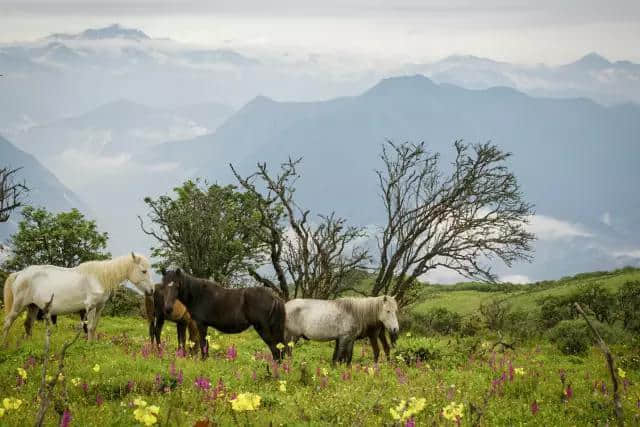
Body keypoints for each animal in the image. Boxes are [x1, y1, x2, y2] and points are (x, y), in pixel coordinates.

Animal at [2, 254, 153, 344]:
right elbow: (90, 327)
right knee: (8, 322)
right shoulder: (91, 307)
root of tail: (20, 273)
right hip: (18, 306)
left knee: (28, 324)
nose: (151, 290)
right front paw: (89, 345)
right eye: (143, 271)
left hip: (32, 306)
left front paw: (93, 344)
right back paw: (4, 344)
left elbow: (94, 327)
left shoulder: (99, 307)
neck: (98, 277)